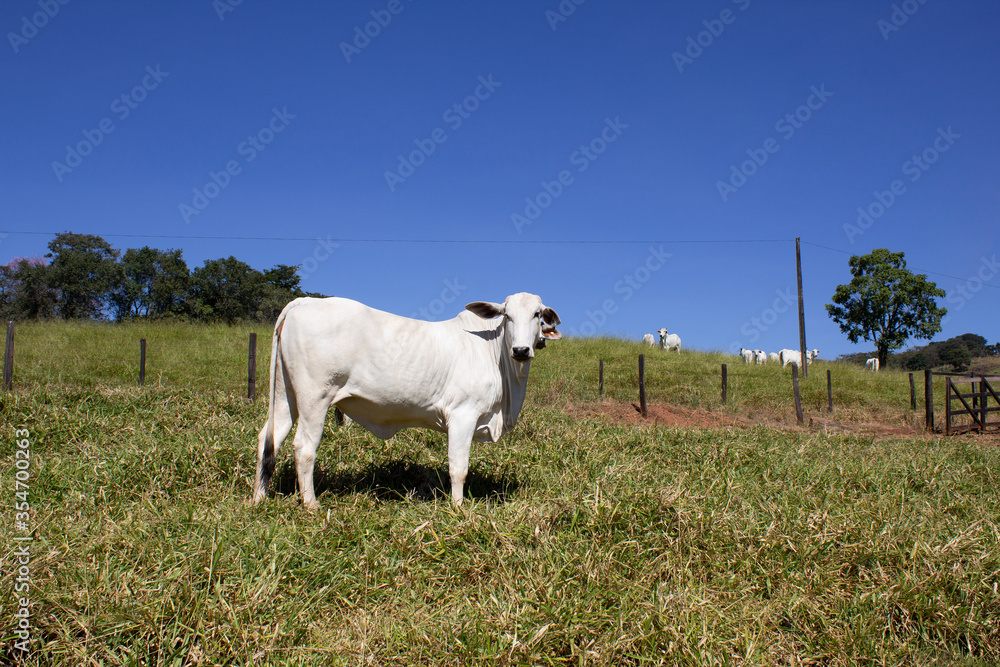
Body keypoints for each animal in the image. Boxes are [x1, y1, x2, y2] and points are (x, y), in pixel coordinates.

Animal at [252, 292, 561, 509]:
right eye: (507, 315)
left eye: (537, 314)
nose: (521, 350)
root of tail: (304, 301)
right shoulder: (463, 416)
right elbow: (458, 468)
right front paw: (459, 508)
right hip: (314, 398)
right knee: (304, 447)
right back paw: (311, 504)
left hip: (285, 395)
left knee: (269, 438)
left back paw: (259, 498)